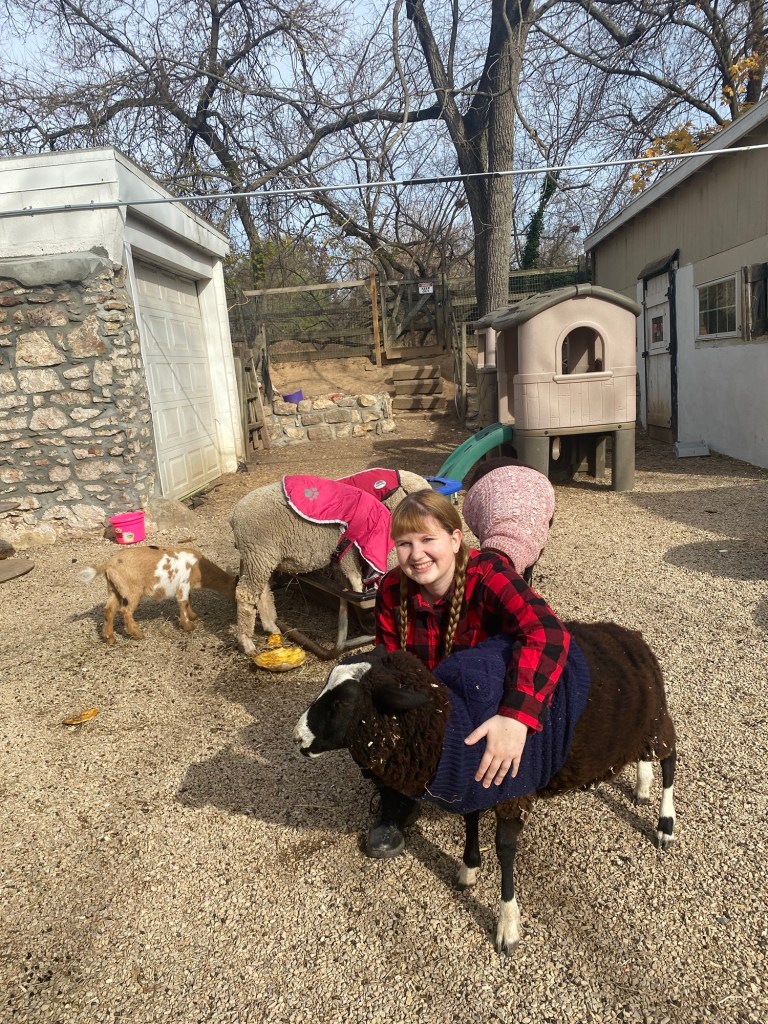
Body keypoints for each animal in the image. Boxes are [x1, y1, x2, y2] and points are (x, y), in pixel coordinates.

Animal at [78, 545, 237, 644]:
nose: (235, 605)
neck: (199, 567)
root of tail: (108, 564)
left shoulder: (186, 586)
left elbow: (189, 600)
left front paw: (192, 616)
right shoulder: (184, 583)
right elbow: (183, 602)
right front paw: (188, 625)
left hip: (115, 589)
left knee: (109, 610)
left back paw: (110, 638)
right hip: (131, 590)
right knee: (125, 611)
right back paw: (137, 634)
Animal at [294, 624, 677, 953]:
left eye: (343, 702)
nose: (297, 737)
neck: (451, 721)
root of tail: (631, 636)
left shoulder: (513, 788)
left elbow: (505, 850)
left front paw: (507, 925)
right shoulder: (476, 781)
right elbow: (471, 822)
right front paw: (469, 869)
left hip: (657, 719)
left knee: (670, 759)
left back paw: (665, 824)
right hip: (639, 727)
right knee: (647, 757)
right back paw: (643, 785)